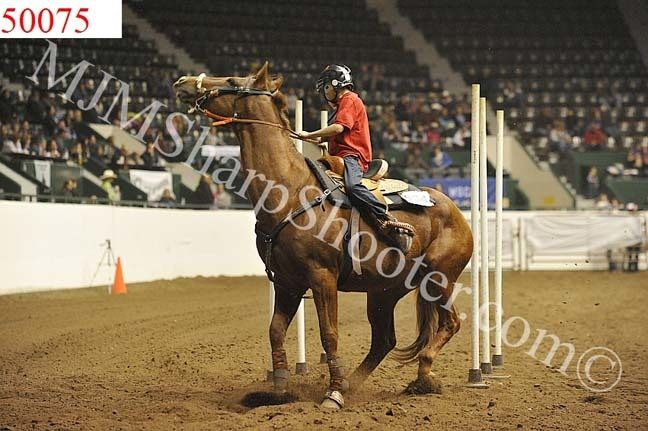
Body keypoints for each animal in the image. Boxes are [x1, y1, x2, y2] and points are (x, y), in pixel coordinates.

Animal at [173, 63, 473, 409]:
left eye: (233, 81)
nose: (182, 82)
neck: (290, 191)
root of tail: (455, 212)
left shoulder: (322, 277)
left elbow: (329, 334)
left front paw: (334, 393)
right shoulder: (288, 282)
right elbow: (275, 331)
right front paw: (279, 391)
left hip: (439, 279)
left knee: (450, 323)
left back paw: (422, 374)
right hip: (384, 291)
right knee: (383, 341)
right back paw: (361, 382)